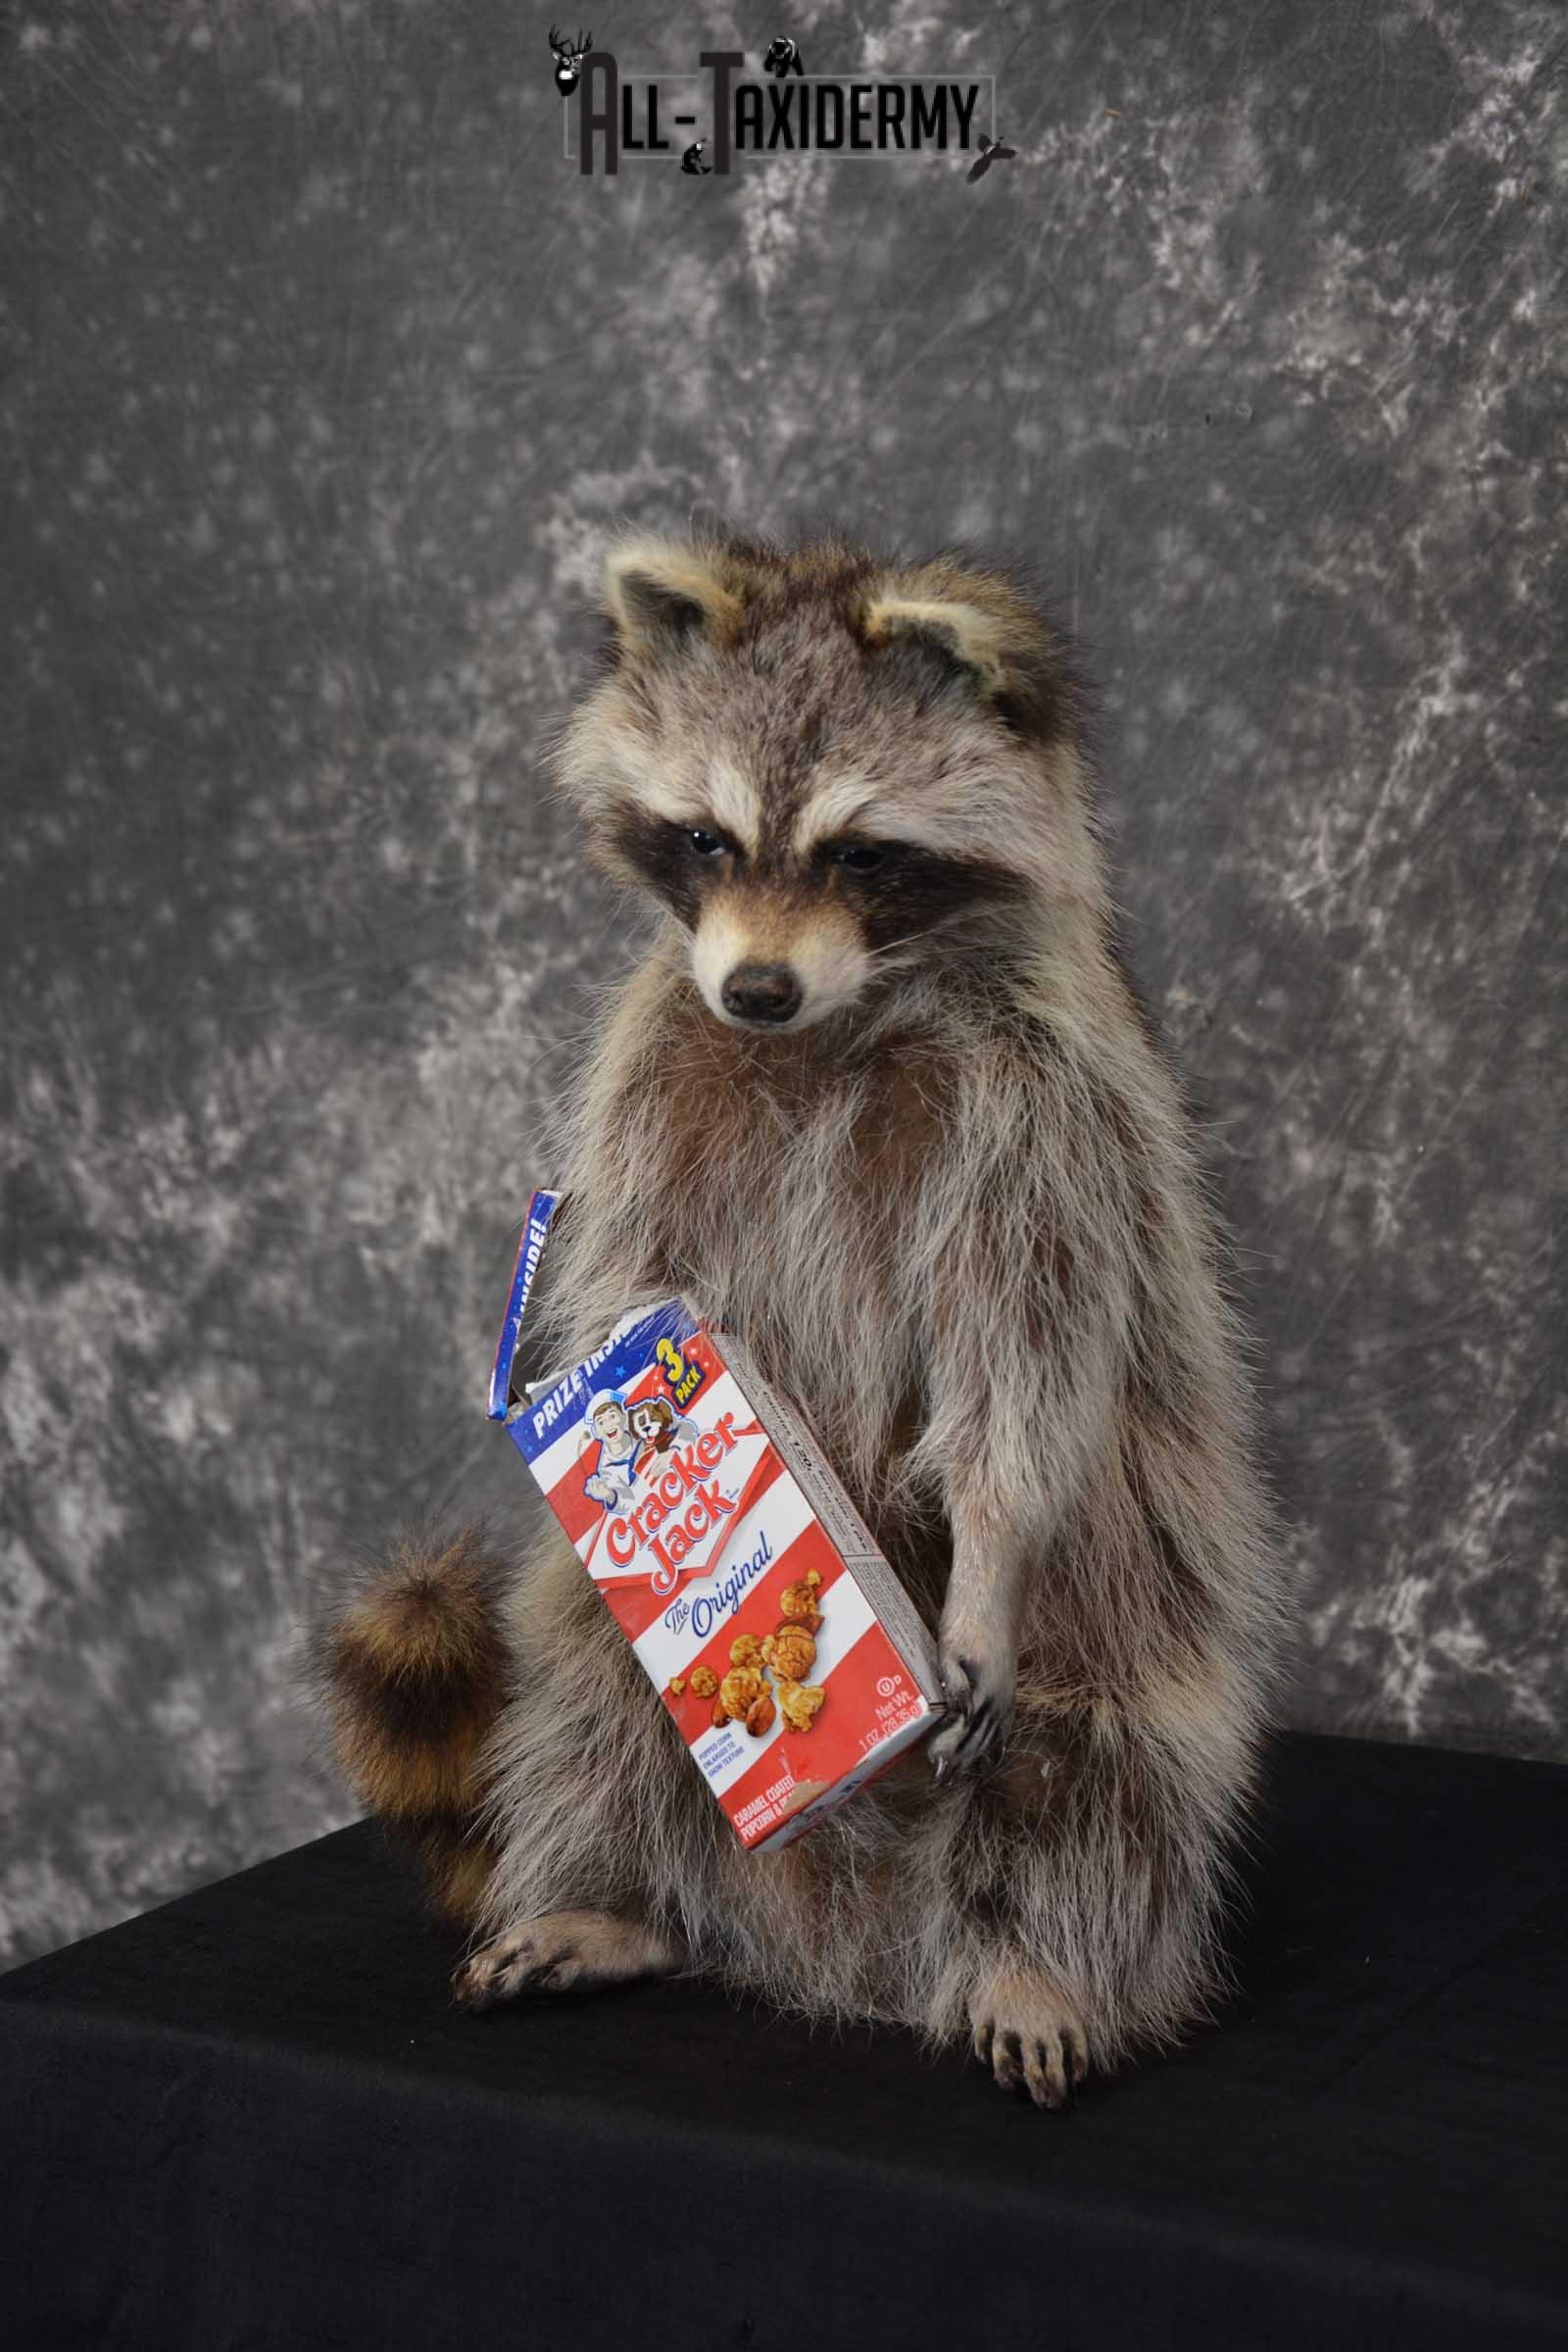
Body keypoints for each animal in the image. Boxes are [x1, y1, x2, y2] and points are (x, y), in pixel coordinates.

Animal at [315, 529, 1286, 2108]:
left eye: (861, 852)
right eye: (708, 839)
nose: (758, 987)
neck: (832, 1020)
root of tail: (848, 1956)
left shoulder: (1046, 1107)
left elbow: (1023, 1351)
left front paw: (991, 1546)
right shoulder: (657, 1060)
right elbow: (635, 1278)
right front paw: (630, 1413)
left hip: (1130, 1596)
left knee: (1105, 1756)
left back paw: (1041, 1959)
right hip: (618, 1679)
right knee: (591, 1693)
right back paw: (617, 1899)